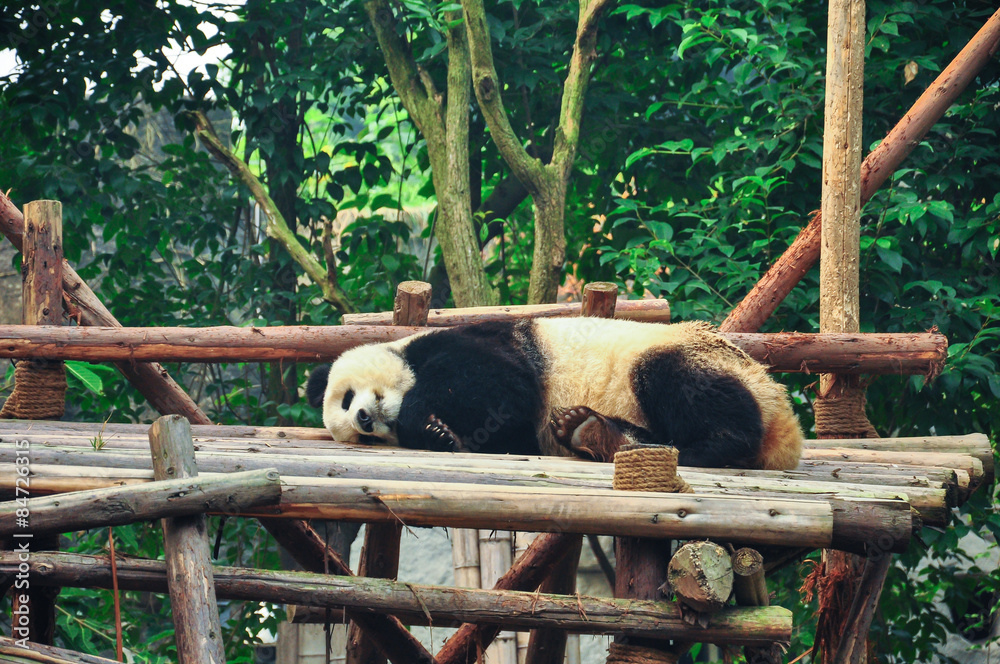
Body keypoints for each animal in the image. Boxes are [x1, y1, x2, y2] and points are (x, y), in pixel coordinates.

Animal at [304, 318, 804, 470]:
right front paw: (439, 433)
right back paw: (596, 434)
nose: (365, 419)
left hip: (686, 354)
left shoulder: (472, 341)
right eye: (363, 438)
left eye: (347, 398)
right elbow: (510, 435)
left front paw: (423, 420)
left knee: (690, 389)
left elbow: (500, 384)